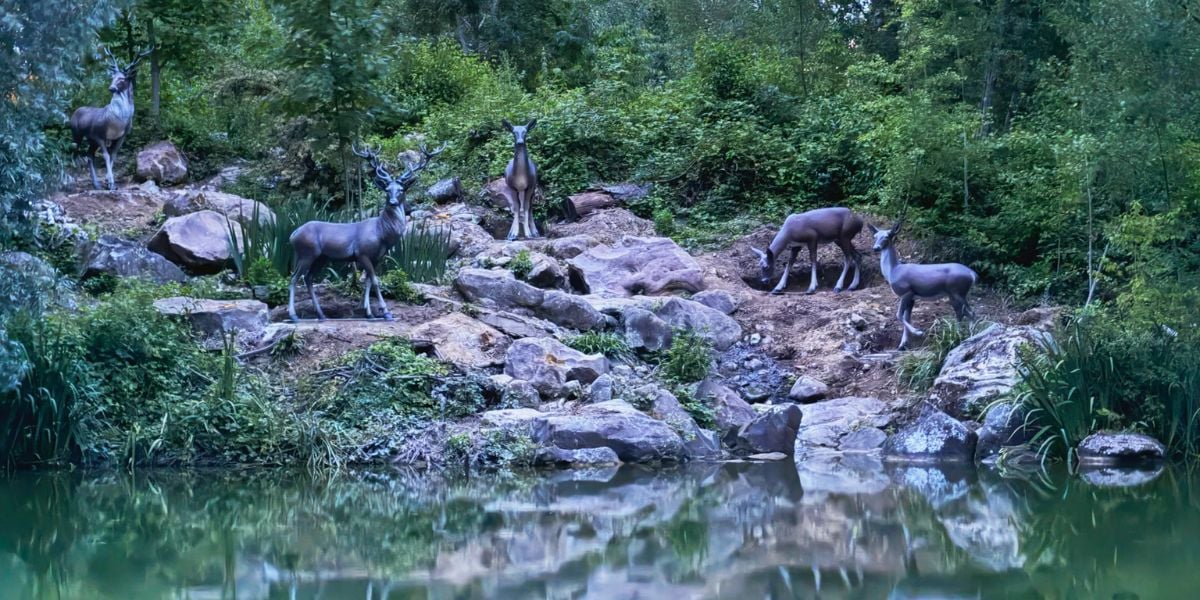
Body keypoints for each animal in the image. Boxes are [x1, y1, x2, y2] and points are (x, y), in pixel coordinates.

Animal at [70, 46, 153, 191]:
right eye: (113, 77)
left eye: (122, 79)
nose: (111, 88)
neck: (117, 121)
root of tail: (75, 111)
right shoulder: (98, 134)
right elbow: (106, 156)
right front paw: (111, 182)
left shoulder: (121, 136)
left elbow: (113, 155)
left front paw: (108, 181)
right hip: (77, 133)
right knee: (74, 153)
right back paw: (70, 181)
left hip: (91, 140)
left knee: (89, 155)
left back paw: (96, 184)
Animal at [287, 142, 444, 323]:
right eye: (387, 189)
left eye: (401, 189)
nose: (393, 202)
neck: (382, 233)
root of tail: (293, 235)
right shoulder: (362, 253)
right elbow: (375, 281)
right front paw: (386, 312)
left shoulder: (377, 257)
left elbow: (368, 282)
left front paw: (369, 313)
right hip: (307, 253)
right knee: (294, 278)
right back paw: (294, 315)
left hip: (320, 257)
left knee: (308, 278)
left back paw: (321, 314)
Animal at [869, 217, 978, 350]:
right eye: (875, 236)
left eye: (887, 236)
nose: (876, 248)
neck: (893, 271)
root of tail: (972, 274)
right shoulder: (912, 298)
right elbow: (906, 317)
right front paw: (902, 344)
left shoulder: (906, 292)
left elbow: (899, 315)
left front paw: (918, 332)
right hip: (953, 294)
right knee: (960, 313)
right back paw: (958, 336)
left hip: (958, 291)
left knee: (971, 313)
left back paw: (970, 336)